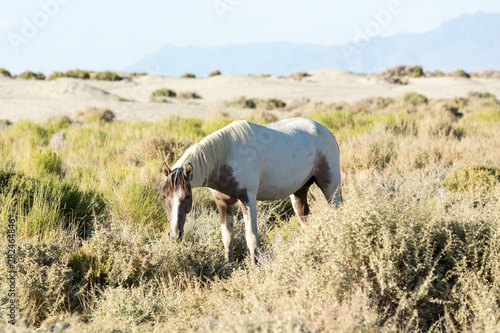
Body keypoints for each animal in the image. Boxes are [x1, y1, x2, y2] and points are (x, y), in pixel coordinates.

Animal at [162, 116, 342, 262]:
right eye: (164, 196)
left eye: (187, 196)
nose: (174, 234)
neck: (225, 158)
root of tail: (327, 132)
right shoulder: (223, 203)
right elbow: (227, 237)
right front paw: (228, 265)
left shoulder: (248, 201)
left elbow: (251, 238)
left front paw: (255, 267)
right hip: (299, 192)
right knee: (305, 219)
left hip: (330, 187)